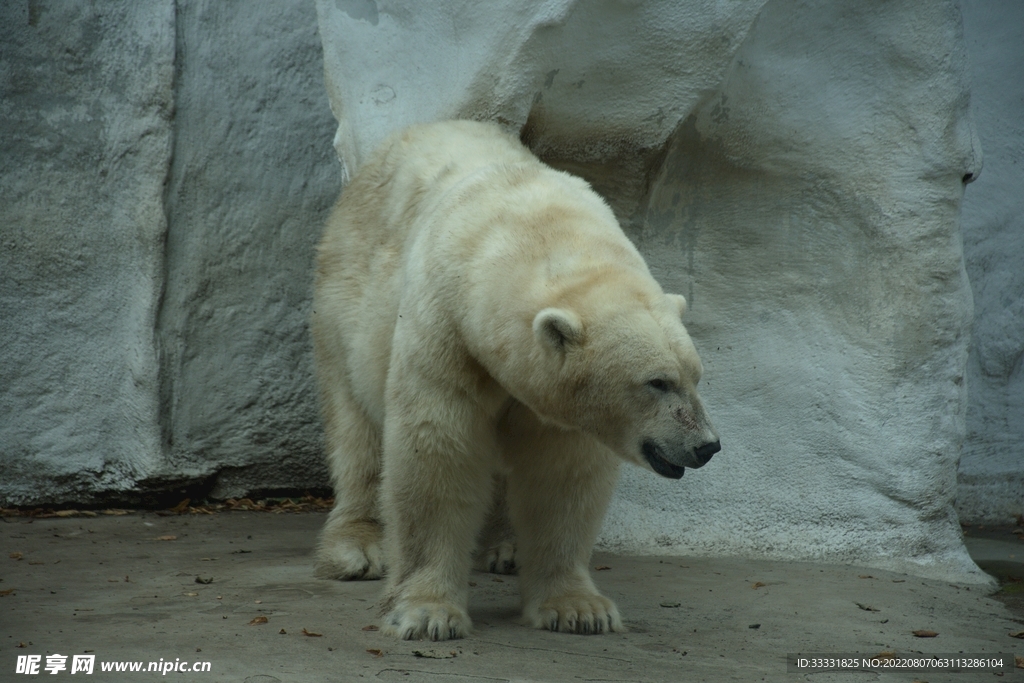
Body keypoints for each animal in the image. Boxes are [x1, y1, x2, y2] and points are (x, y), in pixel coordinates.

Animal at [311, 118, 720, 643]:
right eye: (657, 382)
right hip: (344, 301)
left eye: (695, 376)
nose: (706, 445)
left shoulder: (553, 400)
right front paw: (426, 613)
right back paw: (357, 548)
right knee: (354, 425)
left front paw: (579, 609)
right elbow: (437, 450)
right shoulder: (447, 331)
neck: (535, 230)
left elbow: (560, 475)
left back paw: (505, 549)